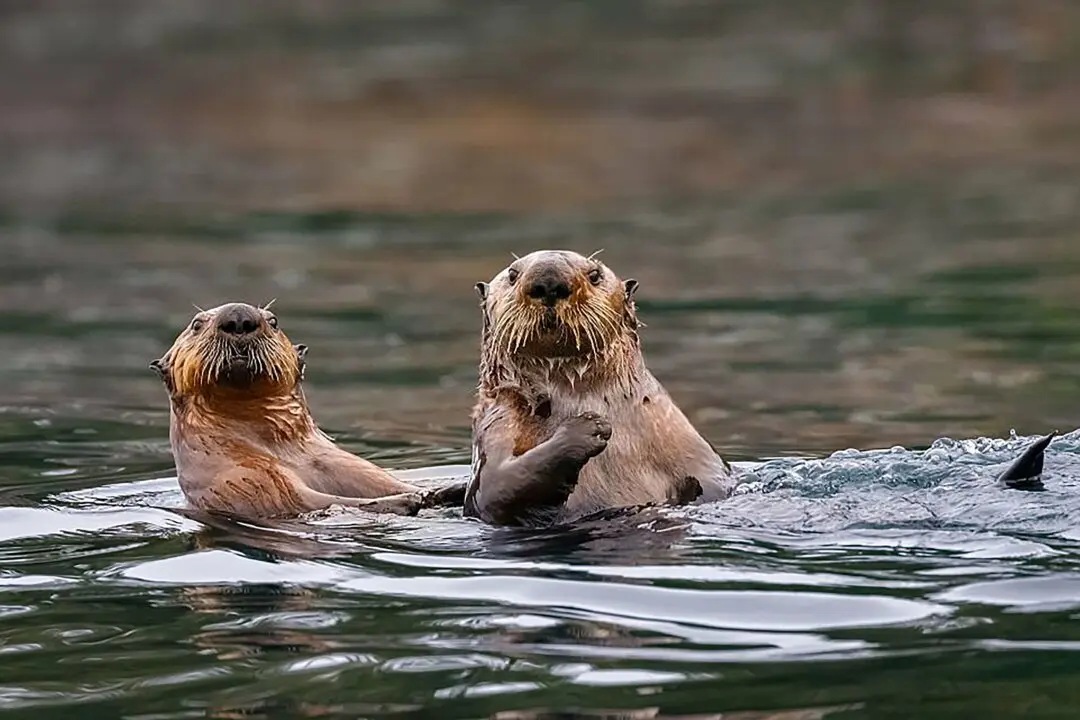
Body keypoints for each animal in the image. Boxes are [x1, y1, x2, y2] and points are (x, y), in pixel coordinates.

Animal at [151, 302, 464, 521]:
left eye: (274, 321)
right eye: (196, 324)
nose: (238, 317)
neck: (283, 453)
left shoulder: (347, 466)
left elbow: (392, 483)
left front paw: (447, 490)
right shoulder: (242, 482)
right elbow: (304, 501)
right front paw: (408, 501)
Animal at [464, 250, 737, 527]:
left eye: (595, 275)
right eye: (512, 274)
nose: (549, 281)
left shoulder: (690, 449)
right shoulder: (496, 423)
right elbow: (494, 488)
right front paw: (589, 427)